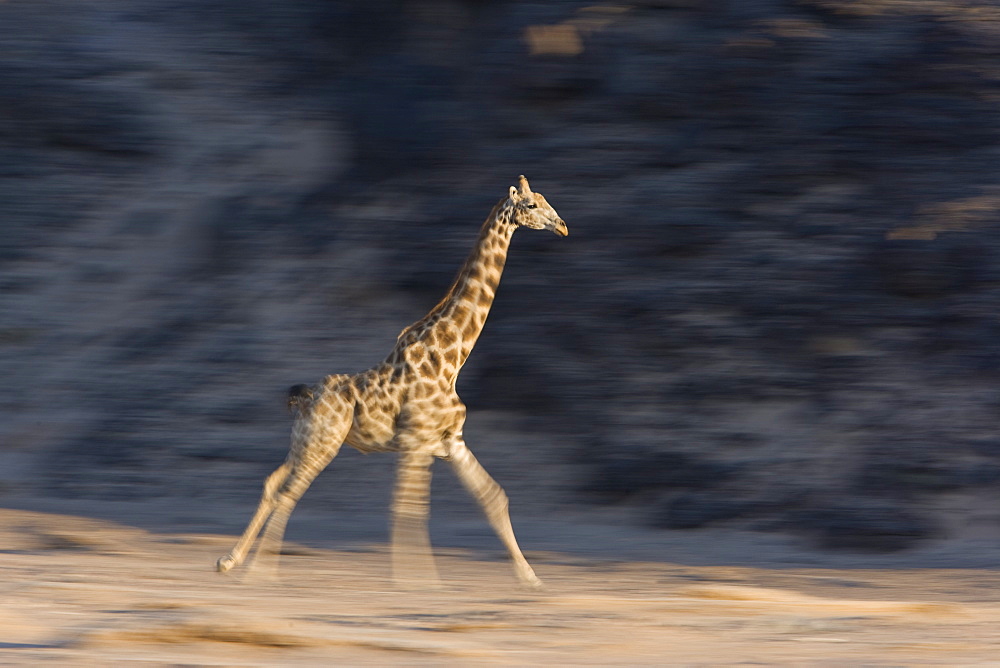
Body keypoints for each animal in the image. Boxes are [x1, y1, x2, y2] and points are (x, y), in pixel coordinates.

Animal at [215, 175, 568, 588]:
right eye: (530, 205)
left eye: (545, 199)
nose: (562, 226)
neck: (451, 359)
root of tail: (304, 397)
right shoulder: (417, 442)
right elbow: (409, 508)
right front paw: (418, 581)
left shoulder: (451, 441)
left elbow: (493, 497)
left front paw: (531, 579)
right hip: (324, 443)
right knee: (289, 493)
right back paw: (259, 572)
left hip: (306, 441)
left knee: (273, 484)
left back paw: (229, 560)